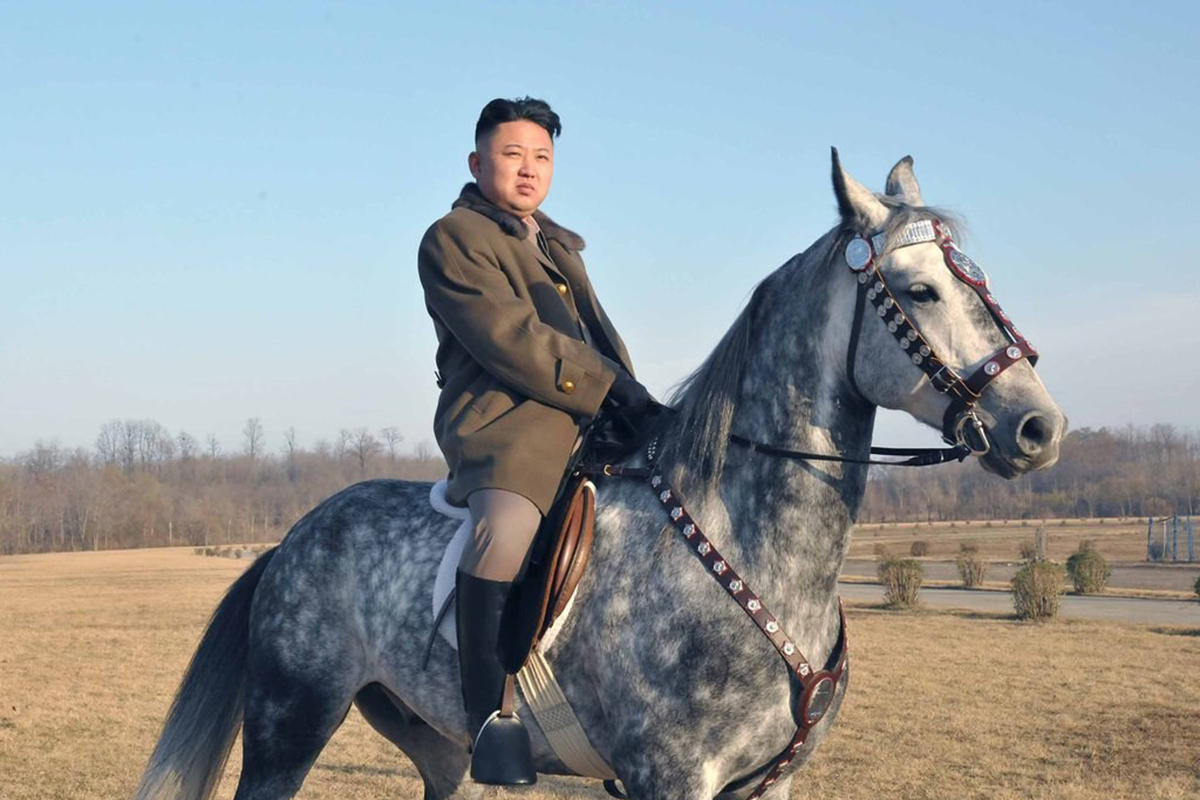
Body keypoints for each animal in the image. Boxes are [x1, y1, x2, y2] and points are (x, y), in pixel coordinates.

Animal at [131, 151, 1066, 800]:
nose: (1038, 426)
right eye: (920, 290)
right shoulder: (670, 778)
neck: (747, 547)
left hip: (435, 744)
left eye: (980, 280)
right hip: (290, 728)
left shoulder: (770, 781)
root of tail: (291, 541)